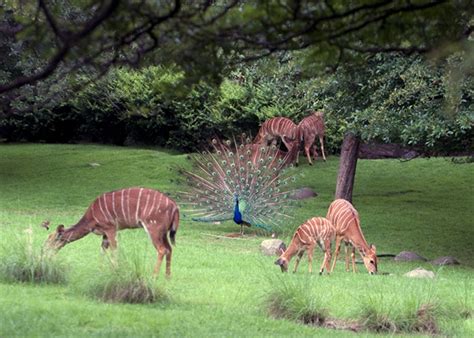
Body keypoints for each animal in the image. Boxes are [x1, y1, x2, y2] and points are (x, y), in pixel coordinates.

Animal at [45, 187, 180, 278]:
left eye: (52, 240)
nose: (46, 255)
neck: (91, 218)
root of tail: (175, 206)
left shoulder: (111, 228)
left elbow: (114, 249)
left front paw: (116, 271)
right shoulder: (105, 233)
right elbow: (103, 250)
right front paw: (100, 271)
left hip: (153, 229)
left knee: (162, 249)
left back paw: (154, 276)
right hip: (164, 233)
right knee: (169, 249)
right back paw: (167, 277)